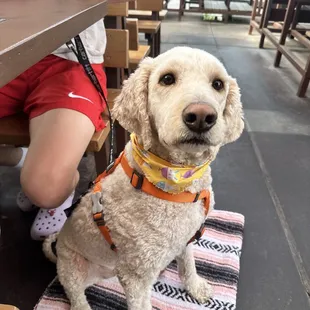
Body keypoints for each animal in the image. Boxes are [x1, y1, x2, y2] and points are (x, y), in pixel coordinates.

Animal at [43, 46, 245, 310]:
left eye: (218, 84)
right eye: (167, 79)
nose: (201, 116)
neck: (174, 182)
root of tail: (59, 247)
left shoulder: (186, 238)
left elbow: (188, 264)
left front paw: (195, 286)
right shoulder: (136, 277)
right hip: (74, 267)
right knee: (75, 295)